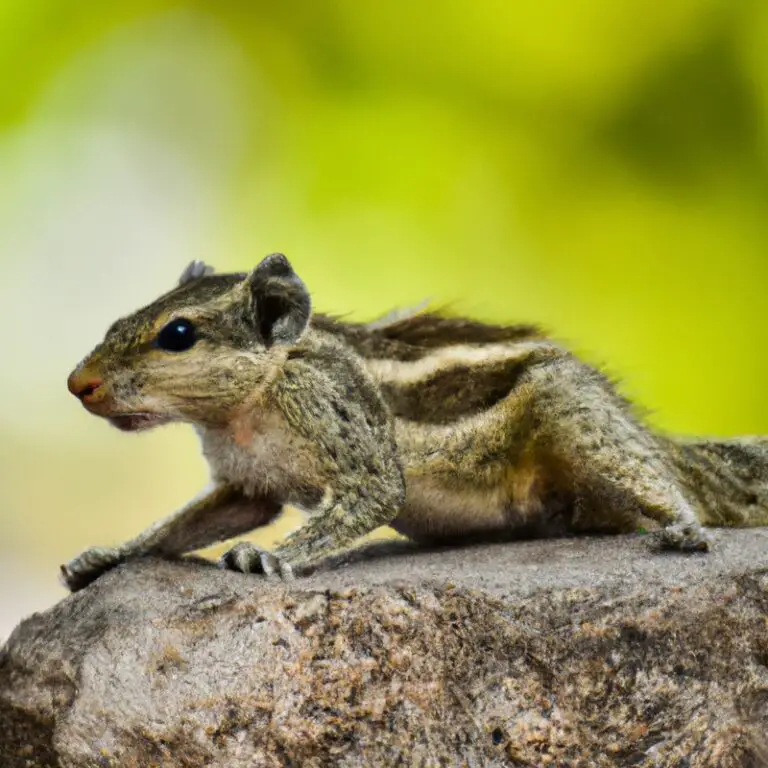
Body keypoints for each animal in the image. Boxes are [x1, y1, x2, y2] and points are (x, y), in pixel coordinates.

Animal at [60, 252, 768, 588]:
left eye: (177, 334)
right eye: (119, 319)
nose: (77, 384)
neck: (242, 412)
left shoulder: (330, 405)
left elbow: (375, 490)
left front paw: (271, 557)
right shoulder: (243, 483)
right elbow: (190, 523)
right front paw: (105, 555)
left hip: (569, 407)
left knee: (655, 479)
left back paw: (679, 521)